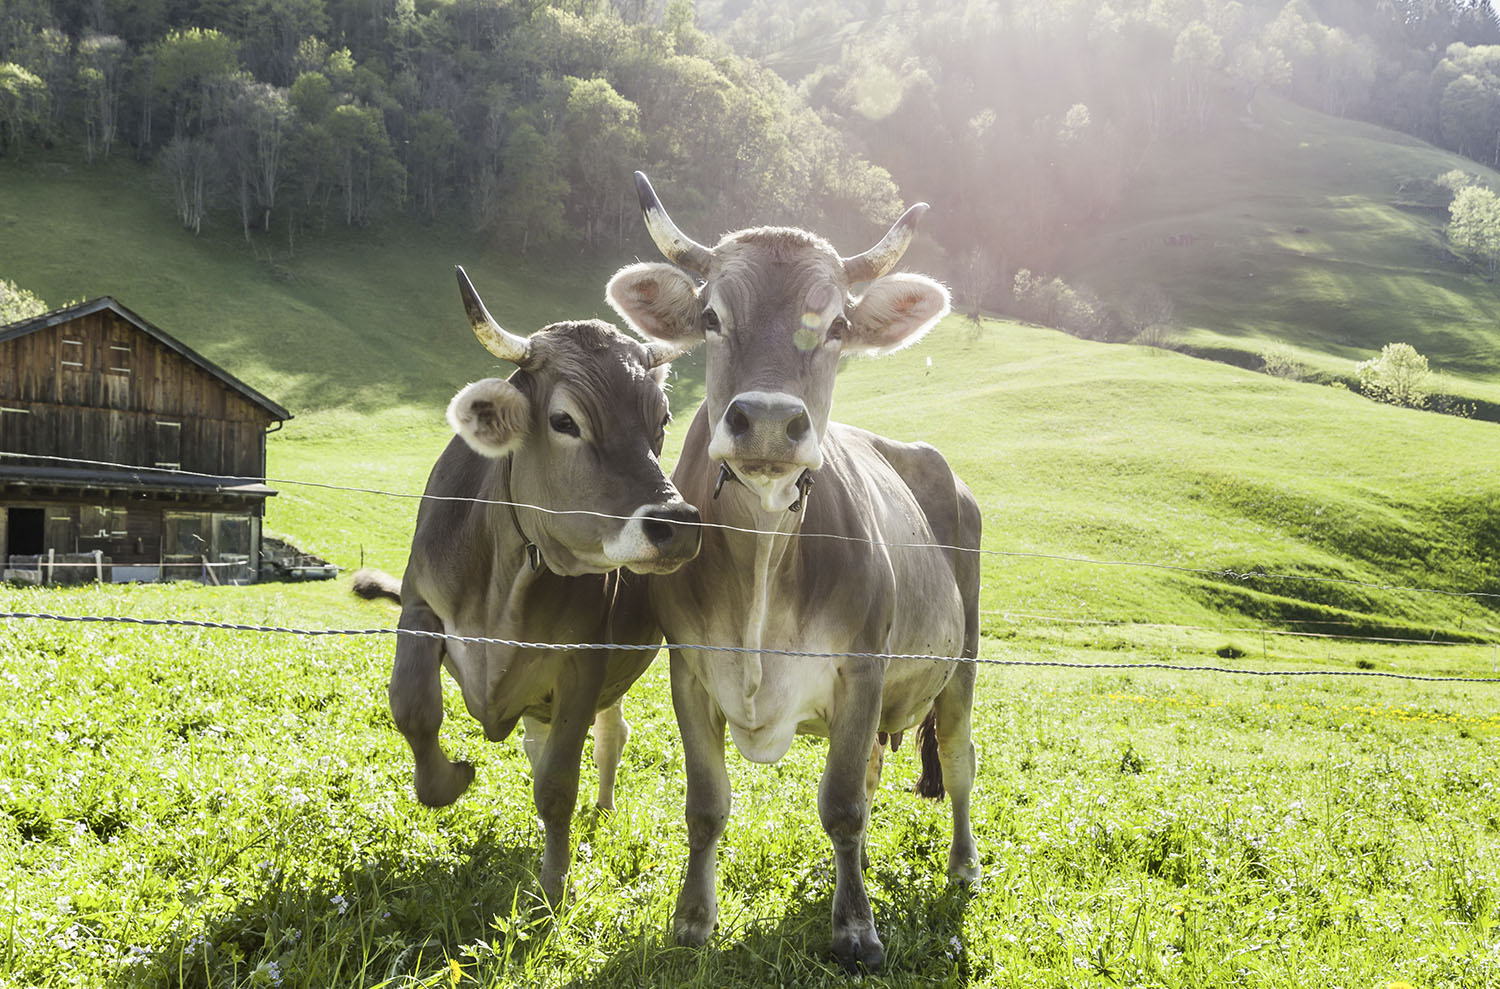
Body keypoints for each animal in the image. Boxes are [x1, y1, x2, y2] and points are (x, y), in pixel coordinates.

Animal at [372, 267, 705, 906]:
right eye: (565, 421)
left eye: (661, 421)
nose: (677, 525)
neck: (505, 585)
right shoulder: (420, 608)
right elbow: (413, 707)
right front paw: (450, 778)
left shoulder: (584, 658)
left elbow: (557, 783)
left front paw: (552, 887)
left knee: (611, 735)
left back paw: (603, 808)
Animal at [609, 174, 984, 972]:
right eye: (711, 315)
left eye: (837, 325)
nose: (768, 422)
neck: (763, 555)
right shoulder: (689, 669)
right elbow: (706, 803)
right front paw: (693, 919)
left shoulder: (863, 666)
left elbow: (840, 803)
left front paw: (857, 930)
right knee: (876, 772)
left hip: (962, 658)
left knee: (958, 755)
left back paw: (963, 866)